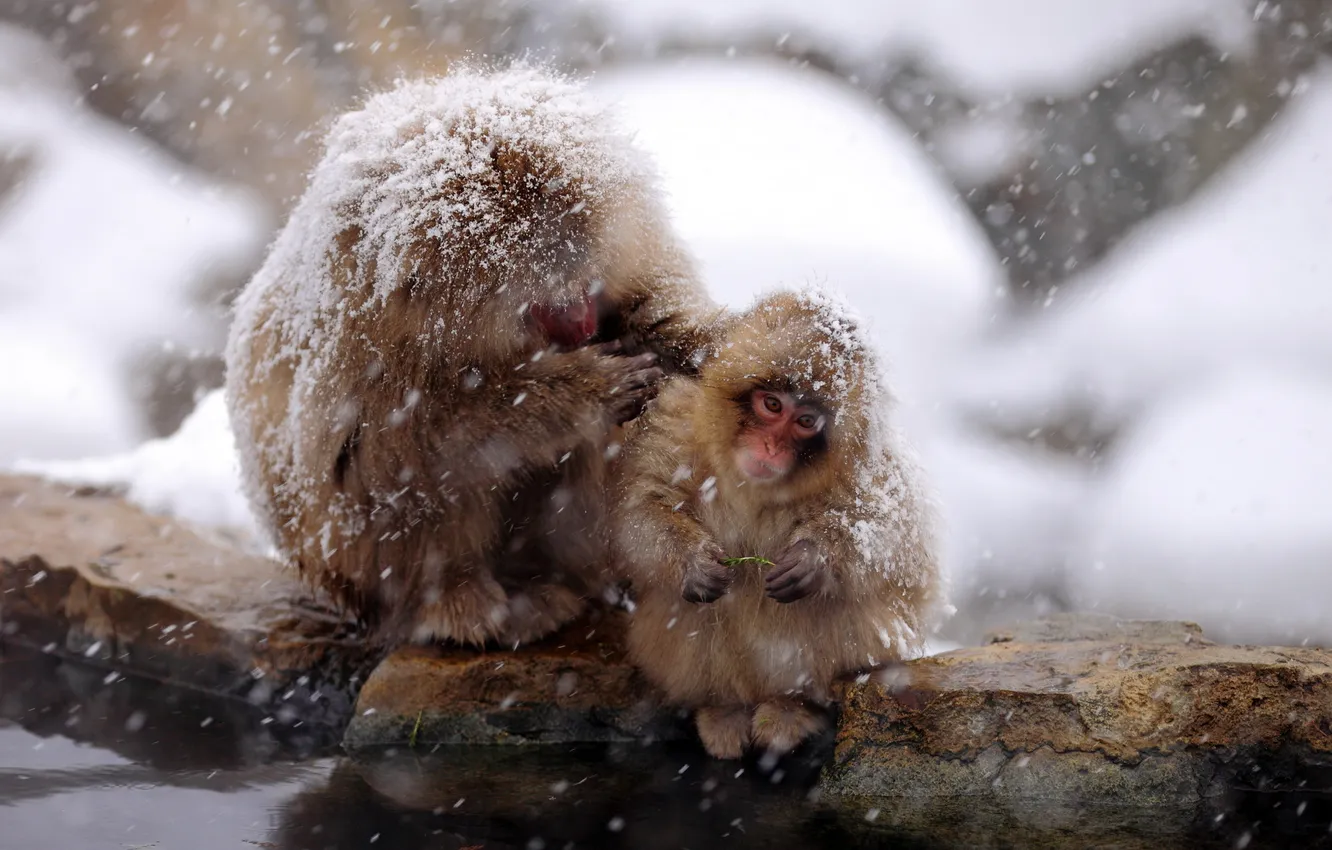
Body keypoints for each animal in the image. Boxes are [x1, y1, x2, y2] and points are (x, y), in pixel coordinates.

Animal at [224, 66, 720, 648]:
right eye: (545, 305)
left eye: (586, 286)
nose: (584, 325)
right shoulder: (362, 334)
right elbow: (384, 450)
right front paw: (582, 391)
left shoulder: (629, 245)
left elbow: (653, 306)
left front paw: (702, 341)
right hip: (352, 568)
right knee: (426, 482)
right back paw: (468, 603)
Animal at [611, 289, 944, 760]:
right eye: (772, 405)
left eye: (805, 421)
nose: (770, 446)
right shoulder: (675, 420)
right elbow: (641, 508)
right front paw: (694, 563)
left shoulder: (868, 462)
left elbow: (894, 538)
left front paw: (813, 559)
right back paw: (723, 708)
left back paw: (795, 708)